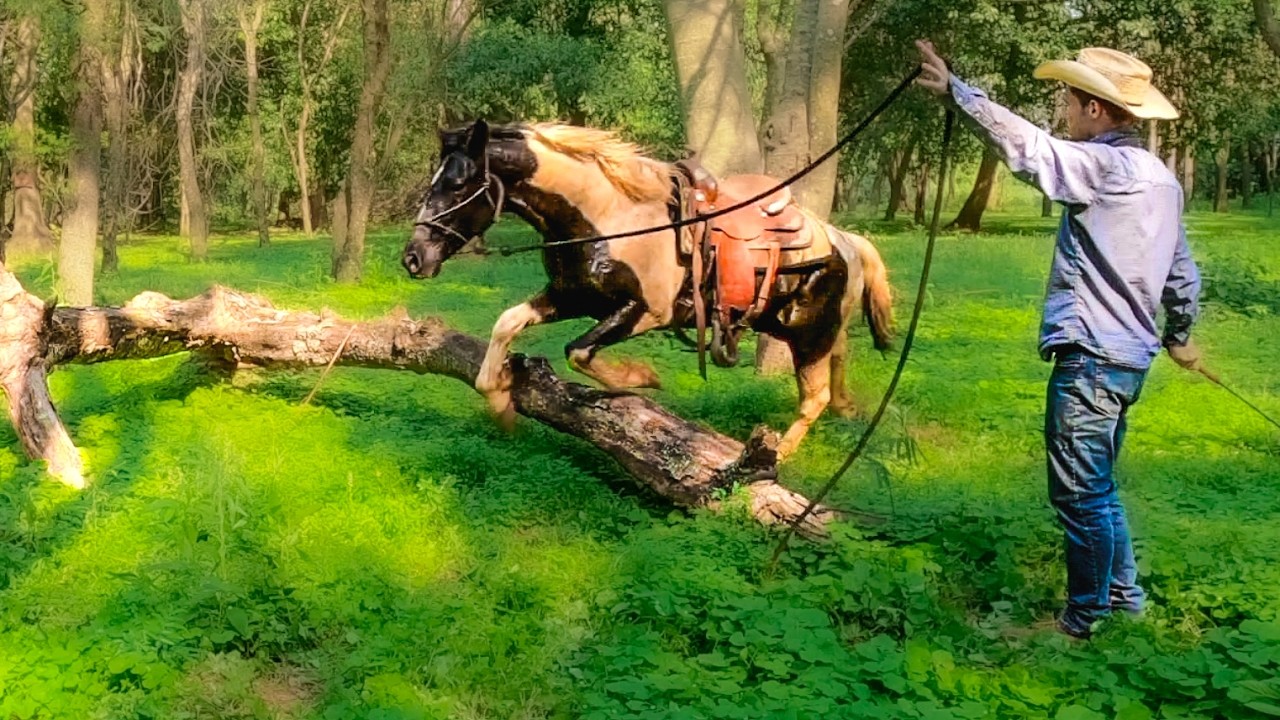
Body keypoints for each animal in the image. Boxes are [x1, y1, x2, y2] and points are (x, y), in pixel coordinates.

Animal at [402, 119, 894, 459]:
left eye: (458, 184)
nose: (413, 258)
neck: (609, 217)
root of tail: (844, 239)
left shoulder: (647, 311)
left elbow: (579, 352)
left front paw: (642, 379)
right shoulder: (570, 296)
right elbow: (506, 324)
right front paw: (501, 400)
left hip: (809, 336)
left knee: (815, 398)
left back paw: (777, 456)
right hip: (805, 328)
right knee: (839, 365)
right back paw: (846, 409)